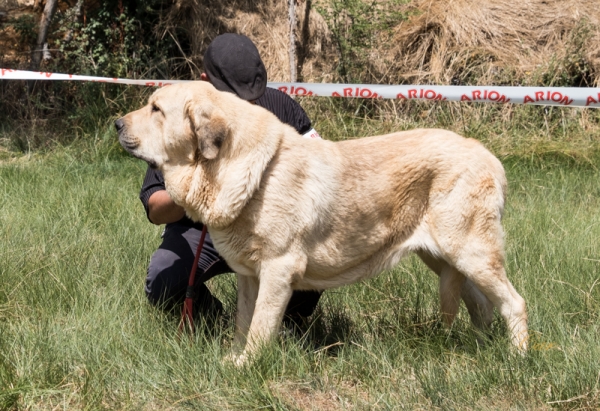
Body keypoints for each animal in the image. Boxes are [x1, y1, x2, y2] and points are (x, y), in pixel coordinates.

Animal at [115, 82, 528, 366]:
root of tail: (488, 155)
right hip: (445, 258)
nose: (117, 123)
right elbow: (243, 322)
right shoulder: (250, 276)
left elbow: (260, 326)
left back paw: (517, 356)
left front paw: (247, 365)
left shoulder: (278, 270)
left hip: (472, 252)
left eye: (156, 109)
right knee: (480, 305)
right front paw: (234, 358)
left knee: (514, 303)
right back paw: (477, 347)